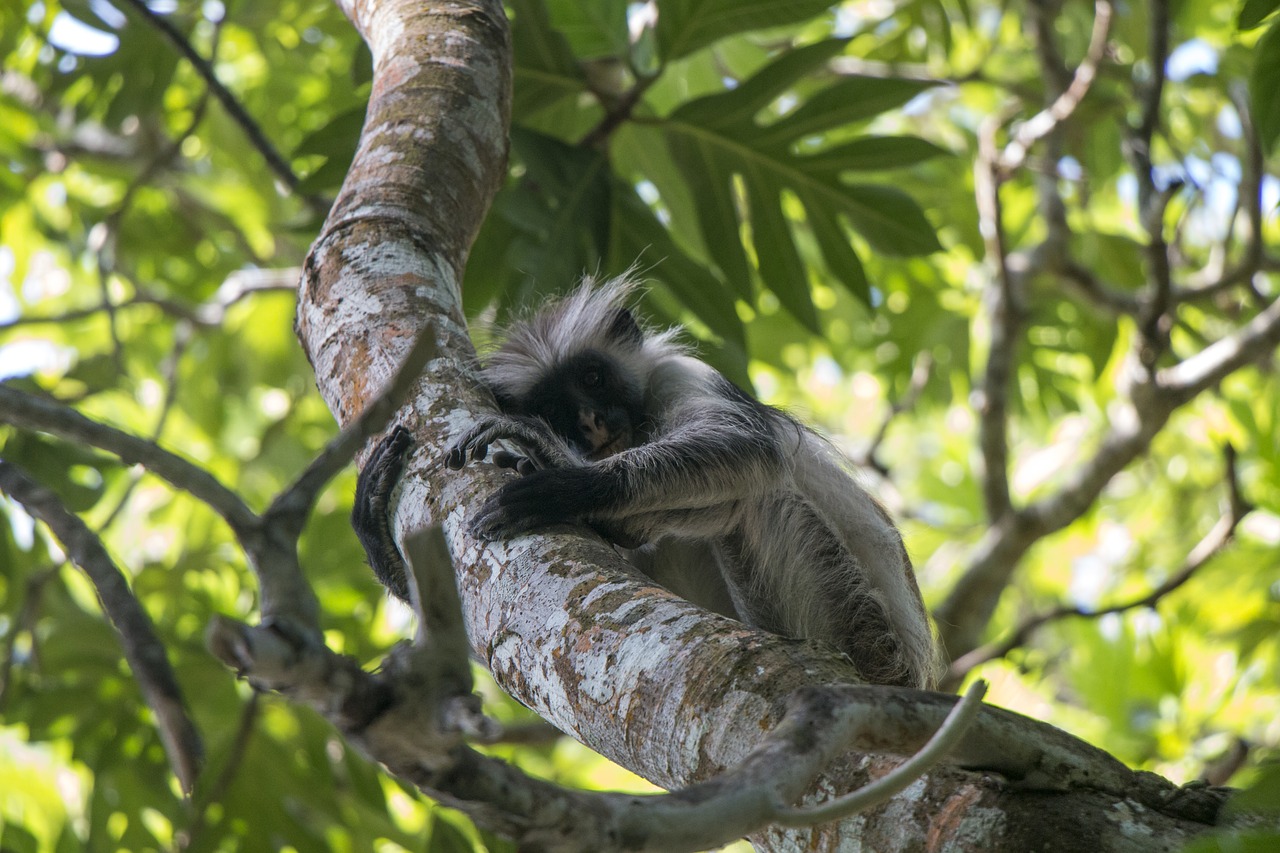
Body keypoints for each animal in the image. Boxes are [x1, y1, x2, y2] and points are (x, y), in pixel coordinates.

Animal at [355, 275, 936, 686]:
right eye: (558, 407)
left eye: (593, 377)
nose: (590, 423)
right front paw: (377, 533)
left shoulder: (681, 375)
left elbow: (746, 448)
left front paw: (565, 483)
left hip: (859, 626)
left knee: (755, 493)